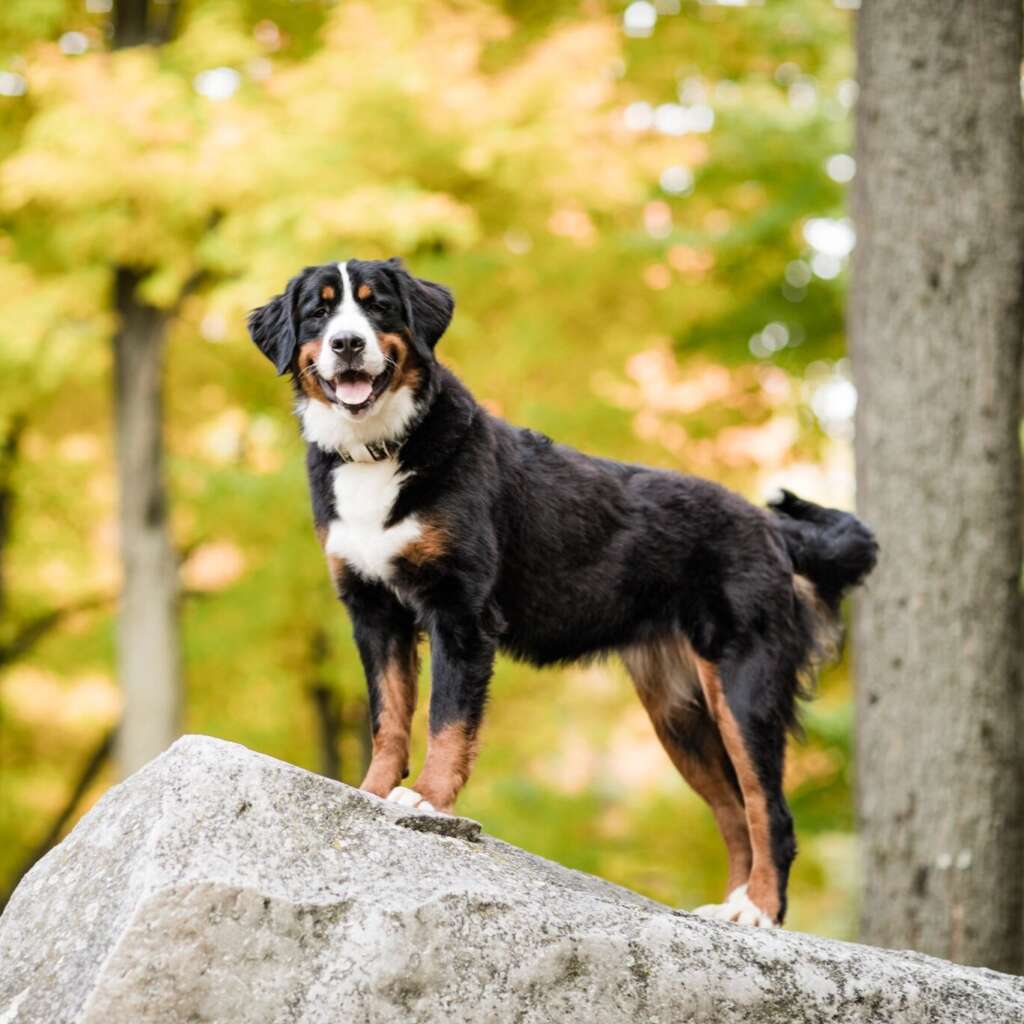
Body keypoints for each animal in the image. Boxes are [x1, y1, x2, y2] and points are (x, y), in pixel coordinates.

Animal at [249, 256, 880, 929]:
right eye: (319, 311)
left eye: (377, 306)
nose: (347, 343)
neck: (381, 451)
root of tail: (771, 526)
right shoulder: (373, 612)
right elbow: (388, 719)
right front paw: (368, 794)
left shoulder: (460, 612)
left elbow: (447, 722)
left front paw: (425, 800)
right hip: (678, 712)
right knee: (734, 810)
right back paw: (727, 909)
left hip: (743, 683)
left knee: (770, 811)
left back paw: (757, 912)